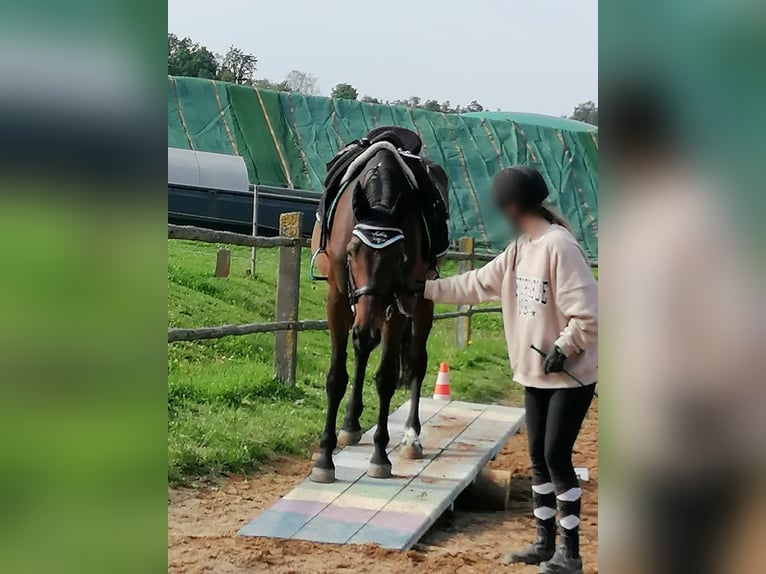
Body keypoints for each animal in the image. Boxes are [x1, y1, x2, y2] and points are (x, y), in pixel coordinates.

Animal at [308, 143, 440, 482]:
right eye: (353, 251)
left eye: (399, 256)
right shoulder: (339, 298)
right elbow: (336, 377)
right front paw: (325, 458)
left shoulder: (397, 301)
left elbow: (386, 377)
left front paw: (381, 455)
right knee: (362, 349)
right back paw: (351, 422)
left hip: (421, 299)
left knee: (416, 360)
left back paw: (411, 437)